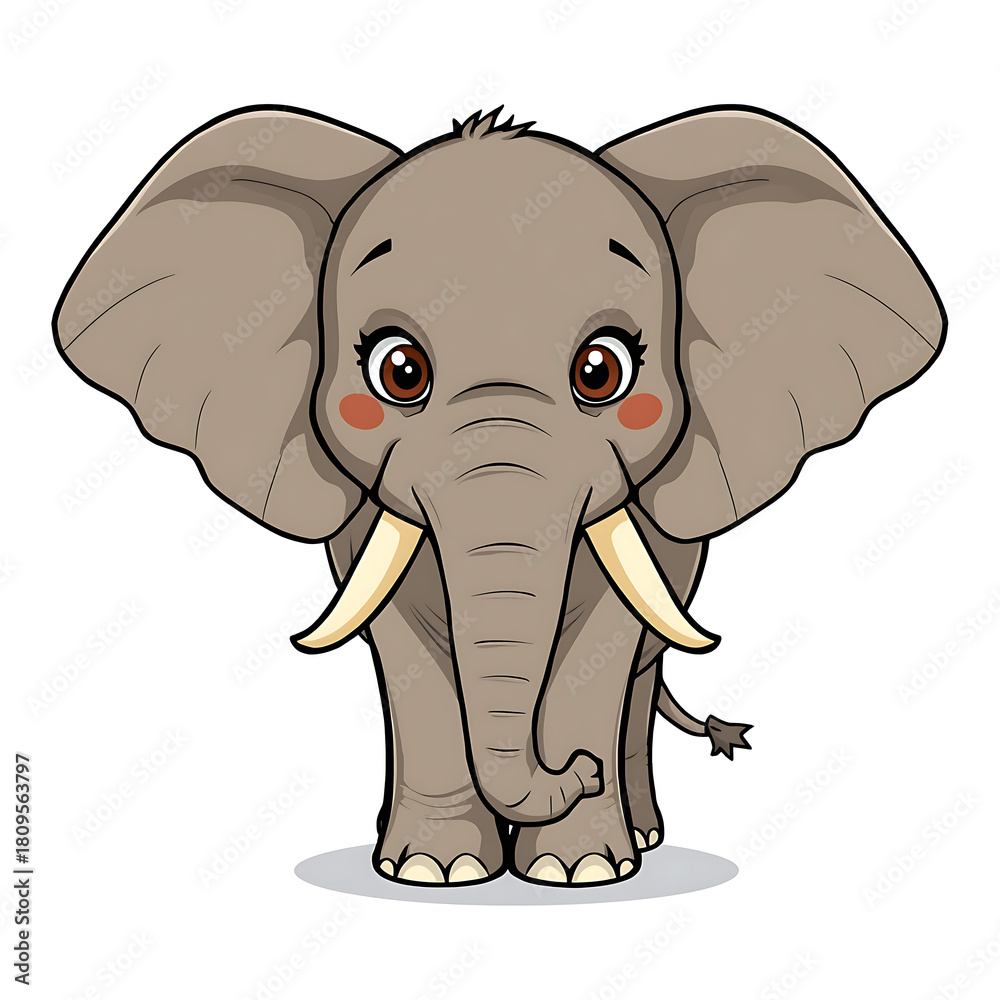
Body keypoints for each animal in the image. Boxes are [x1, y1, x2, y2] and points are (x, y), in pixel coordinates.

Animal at [53, 103, 946, 886]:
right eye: (398, 370)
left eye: (603, 370)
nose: (574, 771)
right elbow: (406, 644)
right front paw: (432, 871)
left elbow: (602, 644)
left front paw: (579, 871)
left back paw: (643, 836)